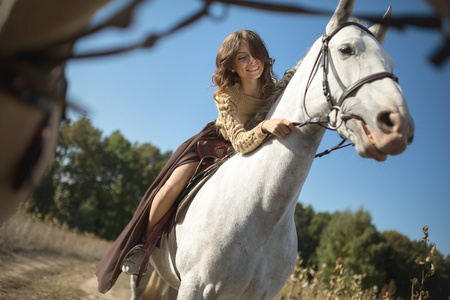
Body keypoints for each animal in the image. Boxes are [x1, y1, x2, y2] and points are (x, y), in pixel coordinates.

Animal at [131, 0, 414, 298]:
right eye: (346, 49)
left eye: (390, 62)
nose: (399, 125)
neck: (263, 213)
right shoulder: (195, 286)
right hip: (145, 275)